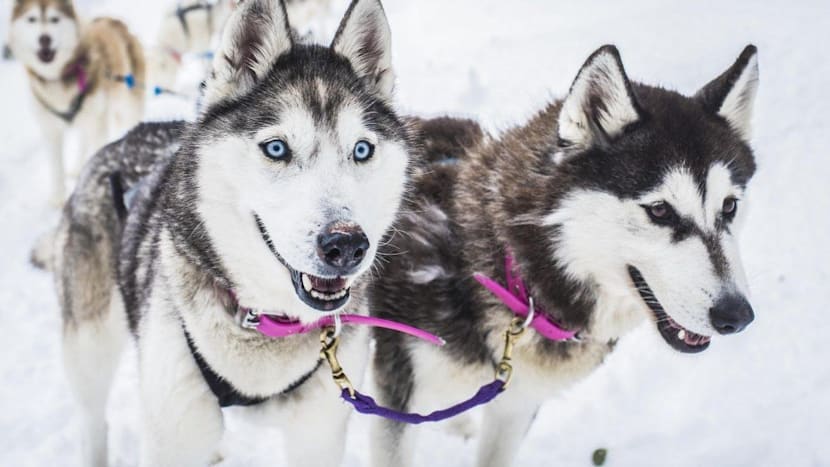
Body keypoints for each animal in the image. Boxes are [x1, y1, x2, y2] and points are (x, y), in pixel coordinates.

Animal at [8, 0, 145, 205]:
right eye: (31, 19)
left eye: (54, 19)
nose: (44, 39)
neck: (58, 79)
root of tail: (112, 20)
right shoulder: (50, 129)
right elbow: (56, 167)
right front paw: (57, 197)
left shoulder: (96, 122)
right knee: (83, 138)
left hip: (126, 105)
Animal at [53, 1, 412, 466]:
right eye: (276, 148)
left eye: (362, 150)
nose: (347, 244)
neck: (265, 320)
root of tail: (127, 139)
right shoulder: (174, 428)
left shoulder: (317, 434)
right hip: (90, 346)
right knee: (93, 418)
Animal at [374, 44, 764, 467]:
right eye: (660, 210)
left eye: (729, 206)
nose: (736, 316)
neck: (512, 275)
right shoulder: (399, 397)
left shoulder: (515, 405)